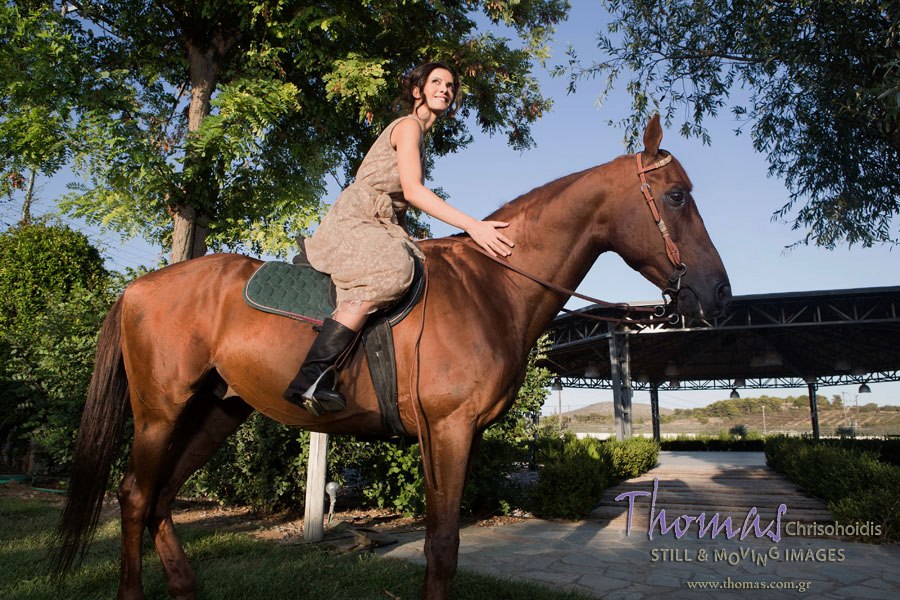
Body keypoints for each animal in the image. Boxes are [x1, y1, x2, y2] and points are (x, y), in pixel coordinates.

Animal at [54, 115, 732, 596]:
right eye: (676, 196)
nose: (718, 295)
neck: (493, 284)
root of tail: (139, 287)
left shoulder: (456, 436)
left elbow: (439, 545)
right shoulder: (448, 429)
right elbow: (443, 549)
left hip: (216, 411)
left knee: (162, 499)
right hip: (160, 412)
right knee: (136, 496)